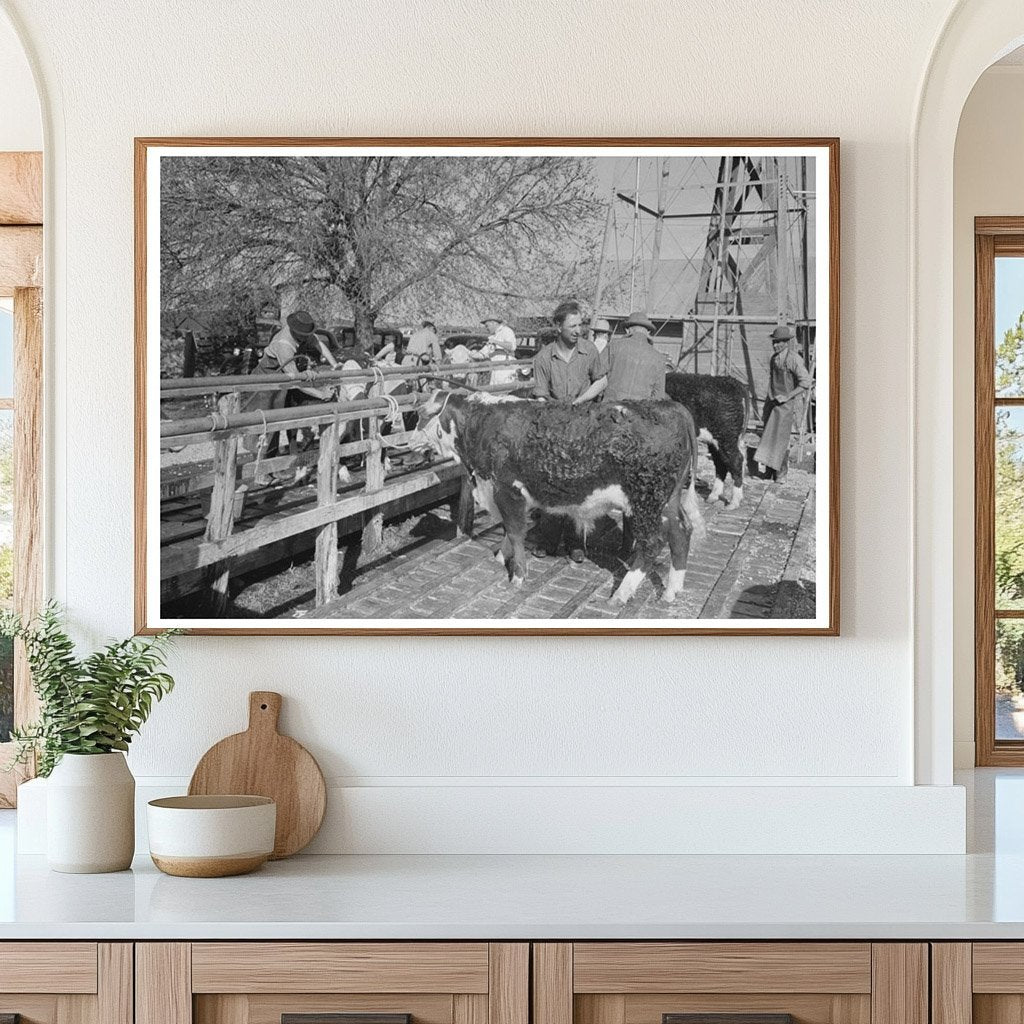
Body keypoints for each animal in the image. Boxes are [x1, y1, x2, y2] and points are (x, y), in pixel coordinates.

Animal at [407, 389, 704, 598]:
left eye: (420, 415)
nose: (409, 446)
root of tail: (670, 406)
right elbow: (509, 531)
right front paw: (502, 556)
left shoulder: (507, 490)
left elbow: (515, 531)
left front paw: (518, 575)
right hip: (666, 500)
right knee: (681, 532)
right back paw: (671, 591)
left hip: (646, 502)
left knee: (652, 543)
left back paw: (621, 593)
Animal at [659, 372, 749, 507]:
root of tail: (732, 382)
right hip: (716, 440)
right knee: (721, 463)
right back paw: (714, 495)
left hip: (726, 436)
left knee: (736, 460)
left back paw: (734, 501)